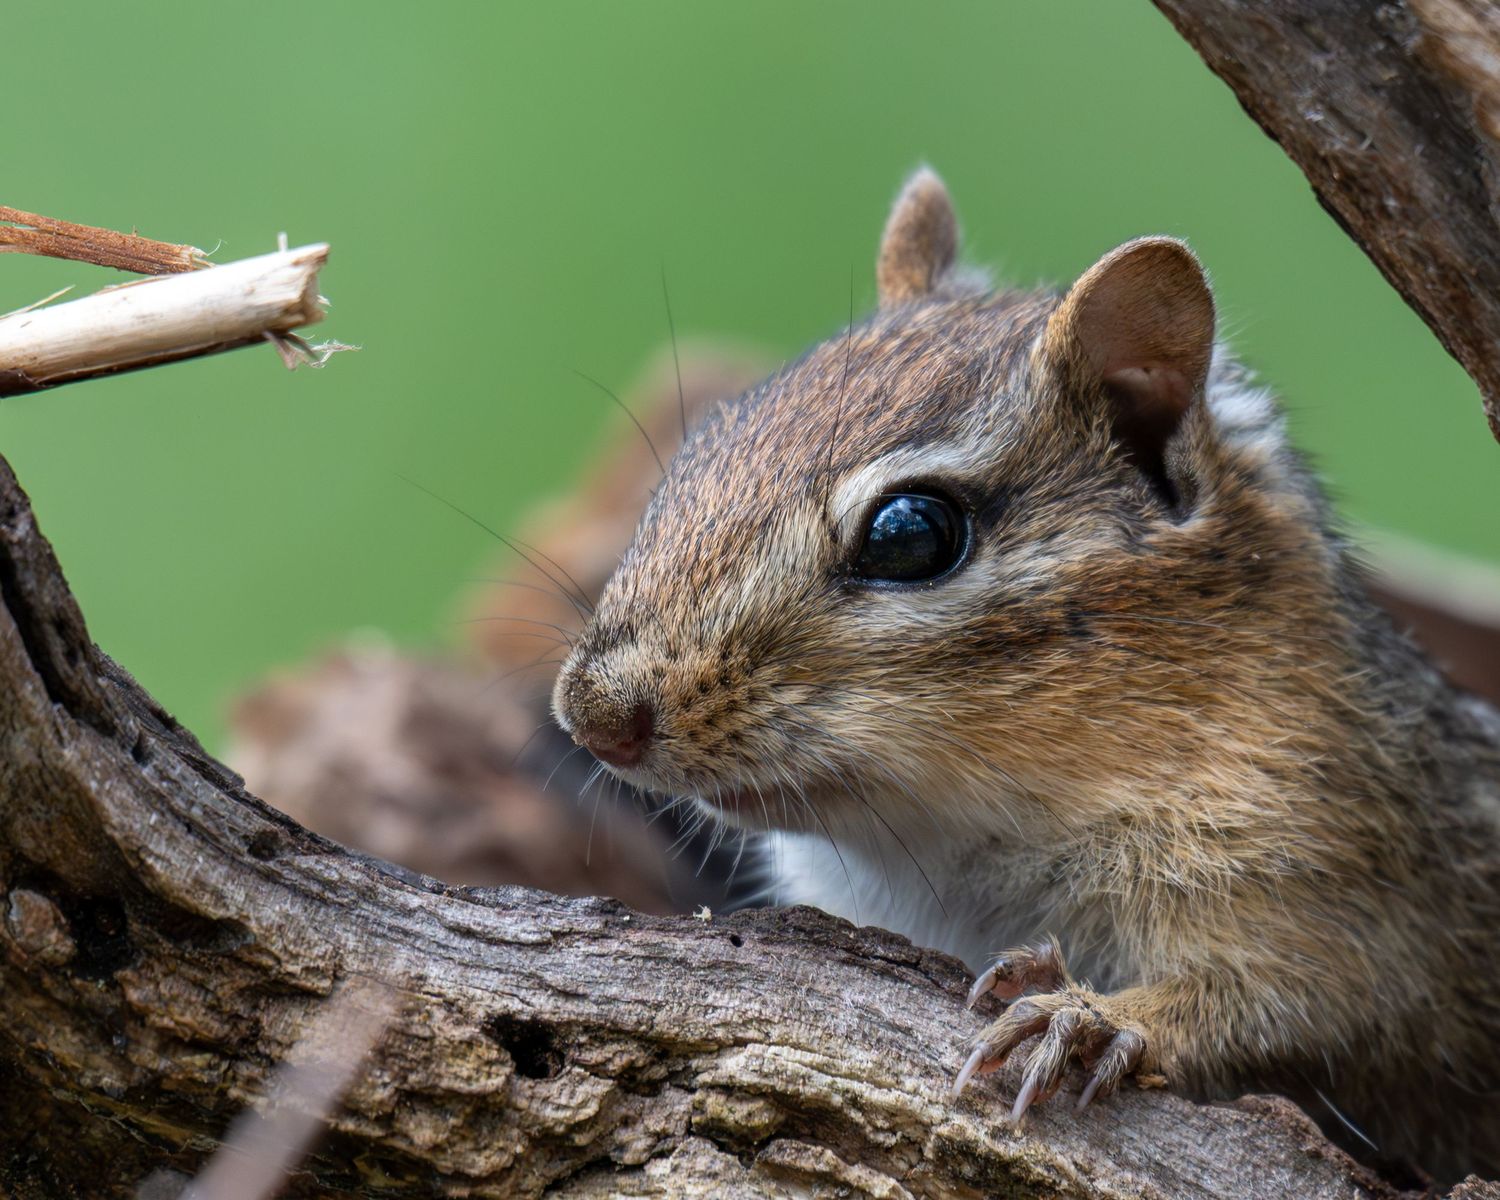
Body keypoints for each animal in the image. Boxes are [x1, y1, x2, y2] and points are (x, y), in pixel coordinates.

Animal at [550, 168, 1500, 1183]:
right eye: (705, 442)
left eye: (910, 533)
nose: (593, 714)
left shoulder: (1342, 882)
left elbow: (1290, 1006)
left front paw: (1086, 1019)